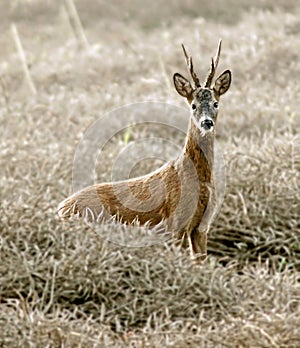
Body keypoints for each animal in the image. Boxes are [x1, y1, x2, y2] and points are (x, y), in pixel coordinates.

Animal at [58, 40, 232, 262]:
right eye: (193, 106)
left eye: (216, 103)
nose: (207, 122)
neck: (200, 180)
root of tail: (59, 209)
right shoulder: (176, 223)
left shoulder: (202, 227)